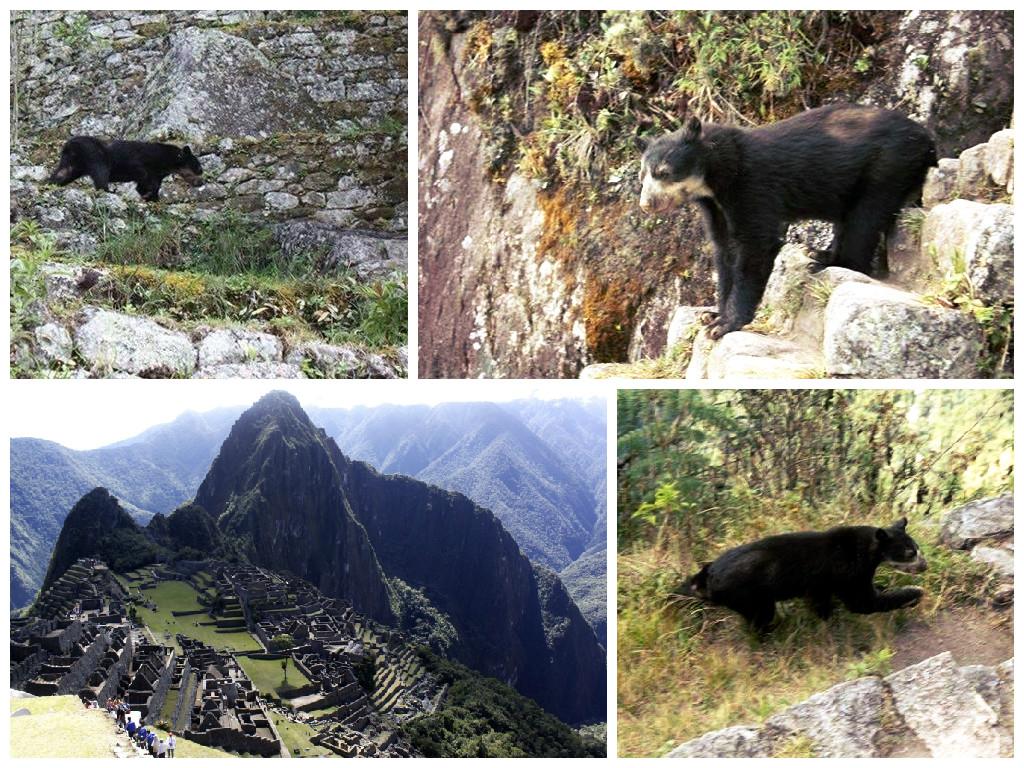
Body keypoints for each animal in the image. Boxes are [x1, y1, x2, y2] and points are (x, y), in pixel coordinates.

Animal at [48, 136, 204, 202]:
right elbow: (144, 176)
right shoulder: (141, 161)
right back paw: (109, 191)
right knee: (101, 172)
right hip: (94, 154)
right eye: (198, 166)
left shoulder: (158, 173)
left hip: (73, 163)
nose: (201, 181)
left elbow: (151, 185)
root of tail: (69, 144)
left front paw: (152, 197)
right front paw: (147, 194)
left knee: (62, 173)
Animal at [639, 103, 937, 339]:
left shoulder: (753, 186)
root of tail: (926, 137)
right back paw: (821, 255)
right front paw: (712, 315)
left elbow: (755, 247)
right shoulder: (716, 207)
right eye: (643, 175)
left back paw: (835, 262)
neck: (715, 180)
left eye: (664, 172)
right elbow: (724, 251)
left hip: (887, 167)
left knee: (864, 221)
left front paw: (724, 325)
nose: (646, 204)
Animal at [680, 517, 927, 631]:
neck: (868, 550)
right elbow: (863, 602)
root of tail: (705, 578)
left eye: (917, 548)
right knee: (760, 618)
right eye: (909, 553)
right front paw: (915, 593)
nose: (924, 566)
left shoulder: (822, 584)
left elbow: (822, 602)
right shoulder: (847, 571)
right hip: (748, 595)